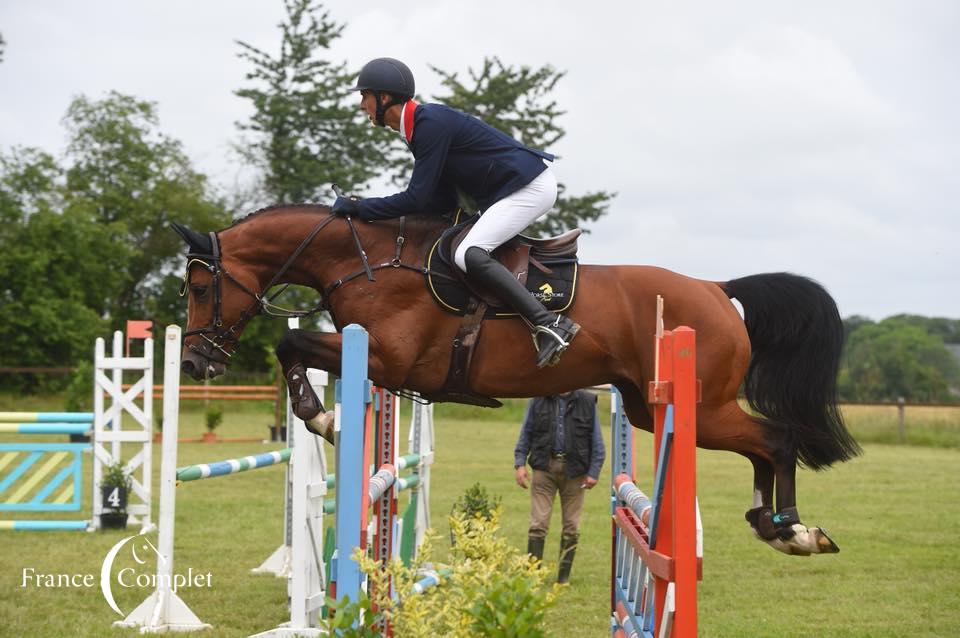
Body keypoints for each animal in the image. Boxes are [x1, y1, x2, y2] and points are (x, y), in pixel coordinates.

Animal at [172, 208, 864, 556]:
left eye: (200, 286)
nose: (195, 365)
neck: (361, 263)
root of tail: (717, 289)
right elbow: (291, 344)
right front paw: (322, 414)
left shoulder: (391, 363)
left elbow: (291, 341)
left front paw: (320, 415)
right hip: (653, 408)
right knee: (763, 446)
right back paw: (772, 525)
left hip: (703, 405)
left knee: (776, 440)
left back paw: (792, 529)